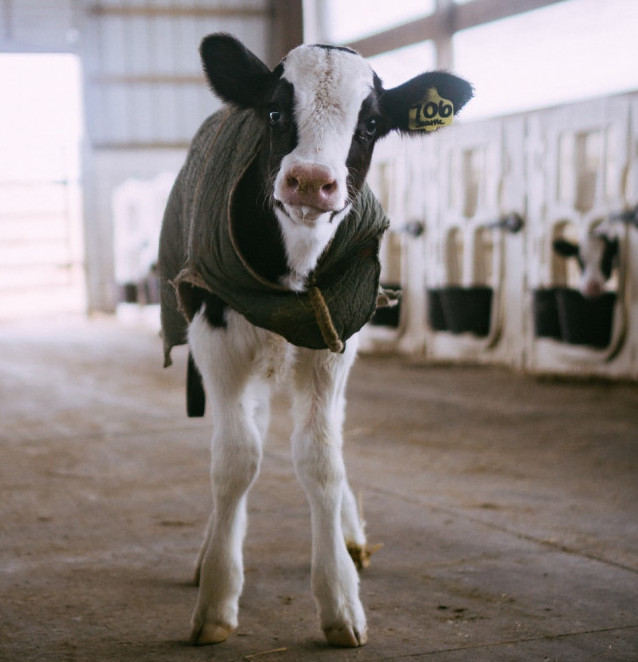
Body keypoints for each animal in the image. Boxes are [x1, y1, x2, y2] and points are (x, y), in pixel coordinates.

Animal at [158, 33, 472, 652]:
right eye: (276, 112)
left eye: (370, 124)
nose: (307, 180)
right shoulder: (214, 331)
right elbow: (235, 459)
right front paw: (217, 600)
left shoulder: (336, 338)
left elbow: (321, 458)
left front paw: (341, 600)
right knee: (247, 431)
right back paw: (210, 553)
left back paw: (351, 536)